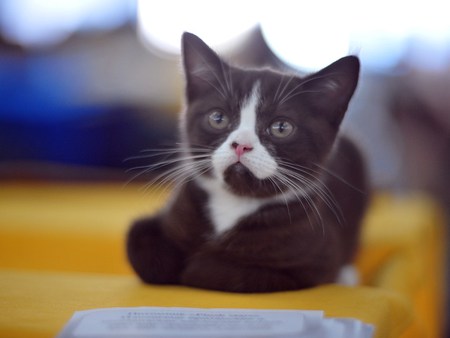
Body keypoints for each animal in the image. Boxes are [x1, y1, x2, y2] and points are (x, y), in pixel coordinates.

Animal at [126, 33, 370, 294]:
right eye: (218, 118)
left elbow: (219, 271)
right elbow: (140, 246)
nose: (241, 145)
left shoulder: (316, 261)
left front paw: (198, 264)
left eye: (281, 127)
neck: (234, 202)